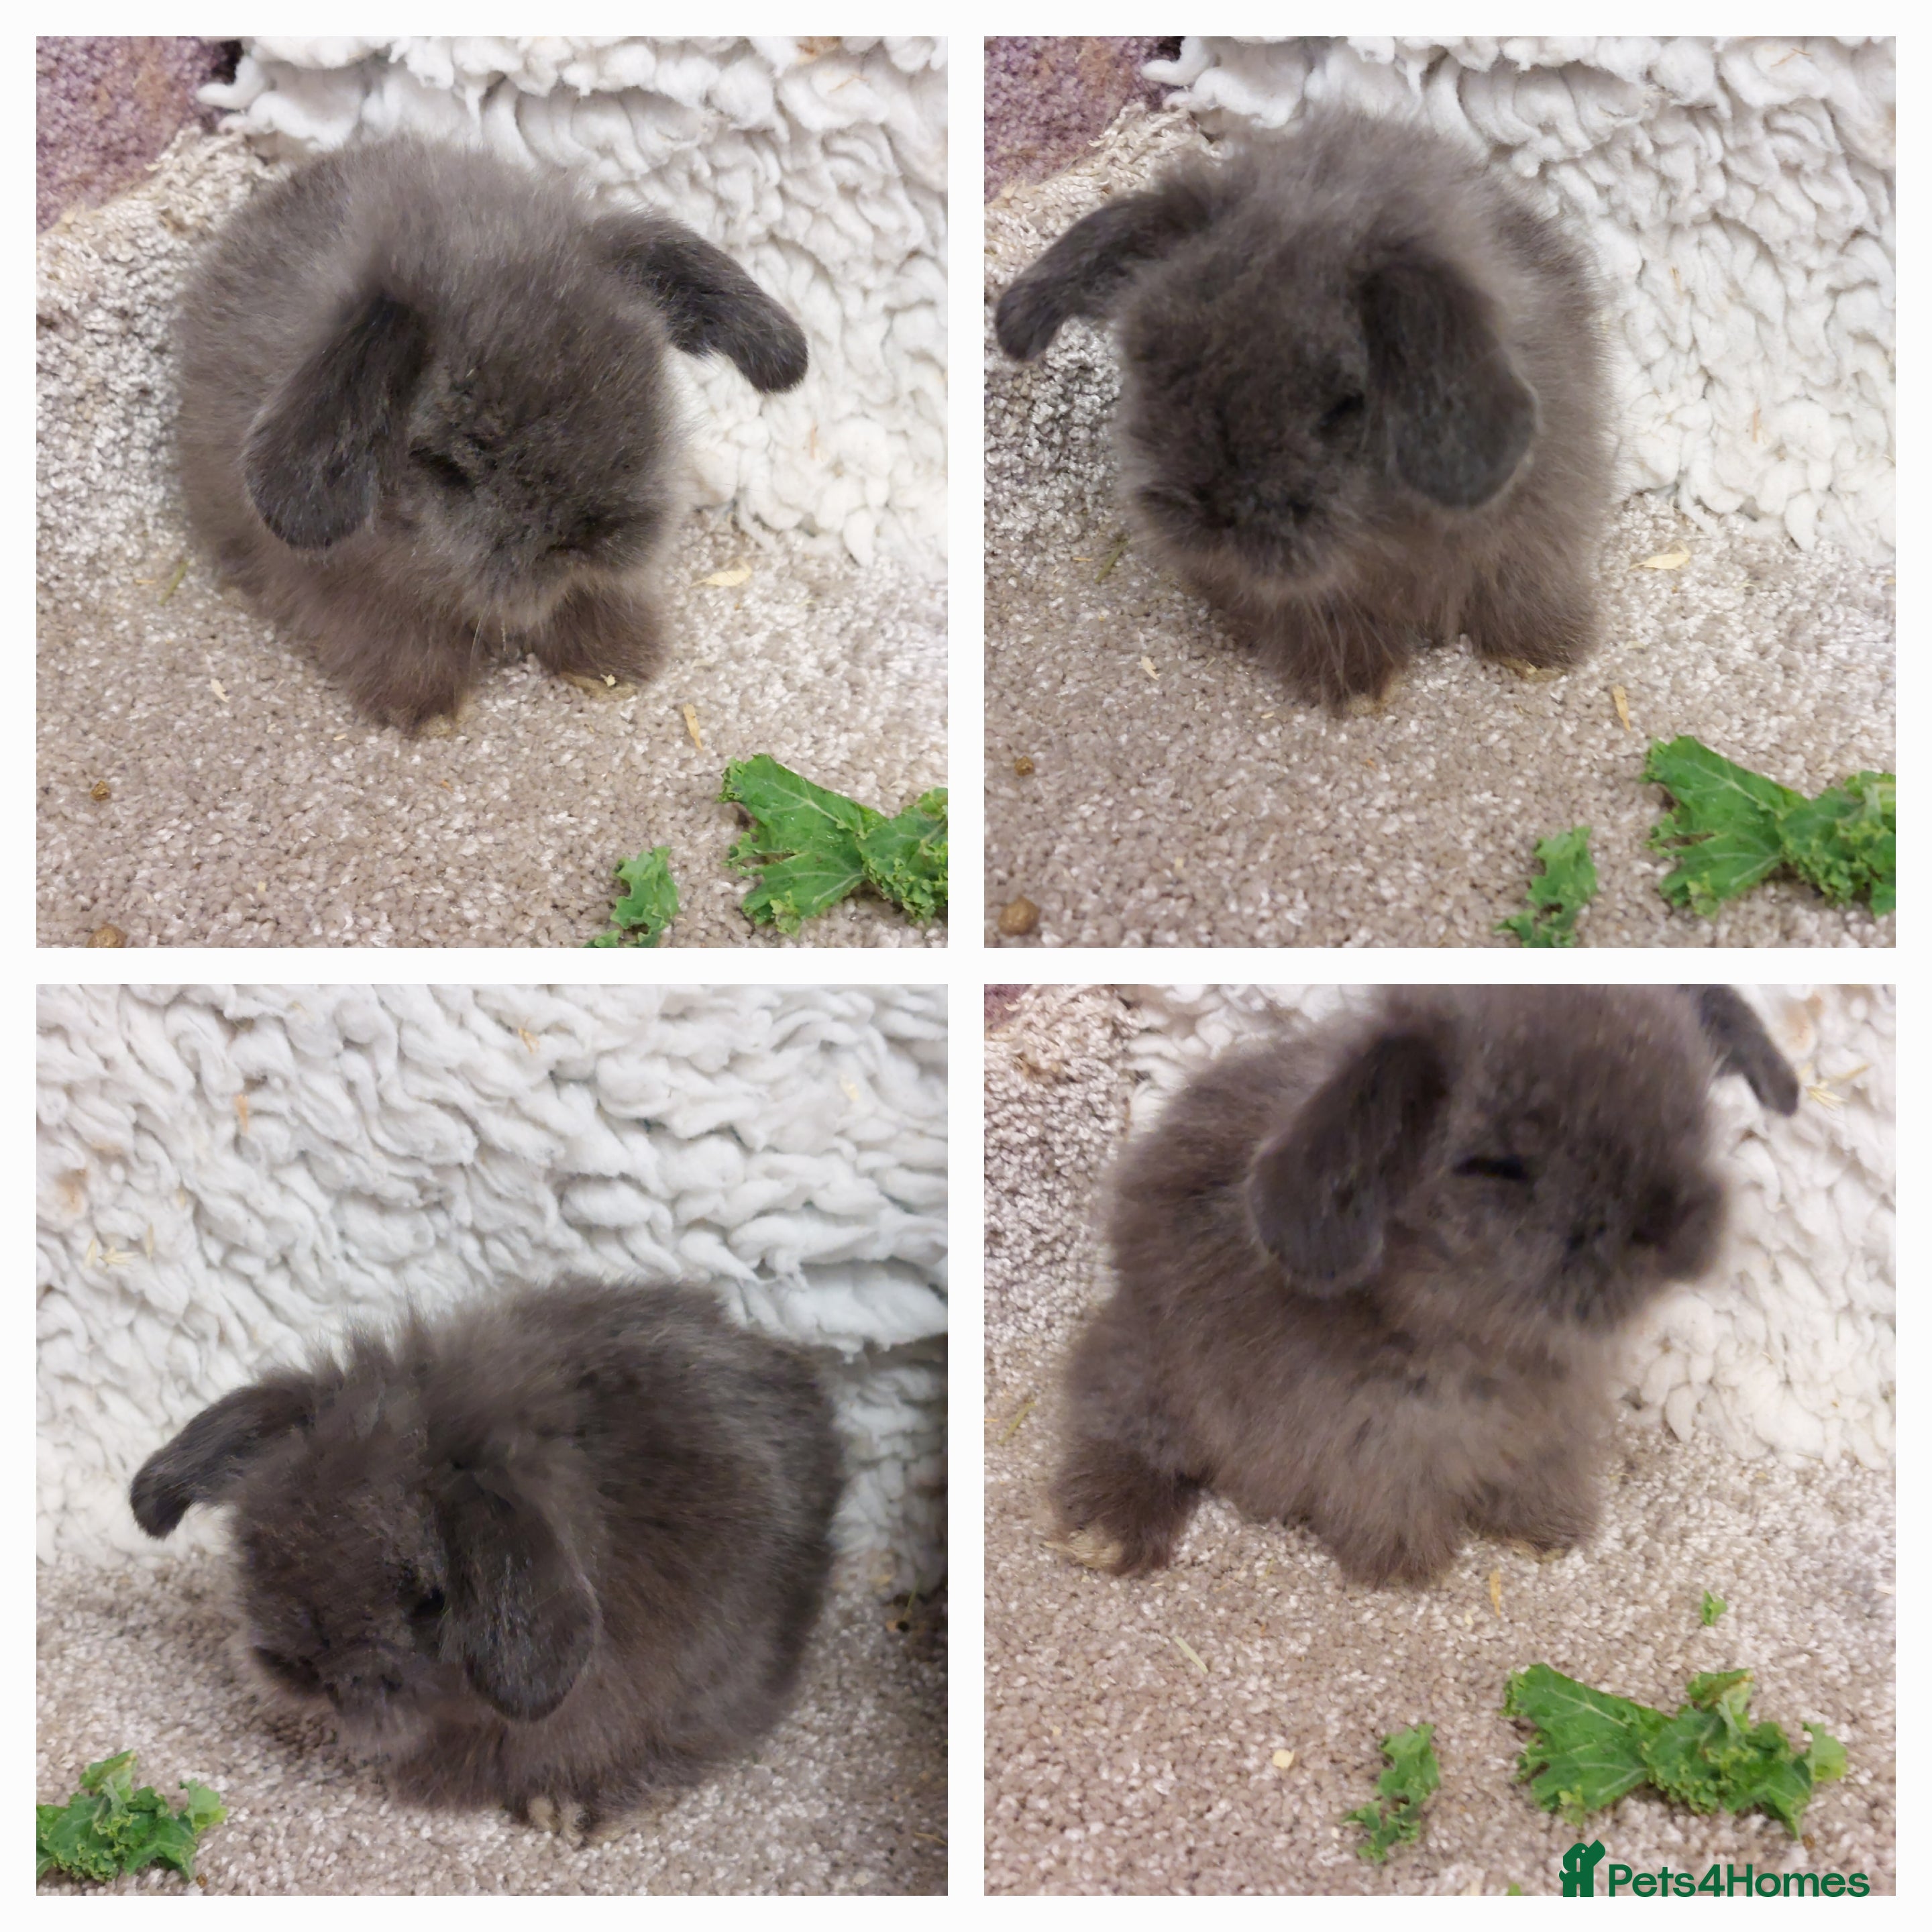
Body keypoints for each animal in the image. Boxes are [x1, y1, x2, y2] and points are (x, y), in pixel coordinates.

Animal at [177, 136, 807, 731]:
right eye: (446, 463)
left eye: (642, 379)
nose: (585, 543)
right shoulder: (350, 590)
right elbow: (400, 637)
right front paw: (426, 711)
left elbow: (595, 603)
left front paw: (622, 663)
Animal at [994, 109, 1612, 707]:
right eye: (1150, 356)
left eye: (1346, 405)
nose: (1212, 515)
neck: (1392, 536)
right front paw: (1355, 686)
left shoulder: (1538, 526)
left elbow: (1517, 588)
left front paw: (1543, 652)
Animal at [1052, 987, 1798, 1587]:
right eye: (1496, 1167)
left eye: (1689, 1113)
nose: (1666, 1230)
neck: (1482, 1340)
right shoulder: (1376, 1448)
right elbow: (1389, 1507)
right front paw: (1409, 1567)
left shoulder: (1549, 1434)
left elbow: (1538, 1481)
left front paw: (1545, 1536)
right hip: (1156, 1373)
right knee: (1111, 1420)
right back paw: (1104, 1535)